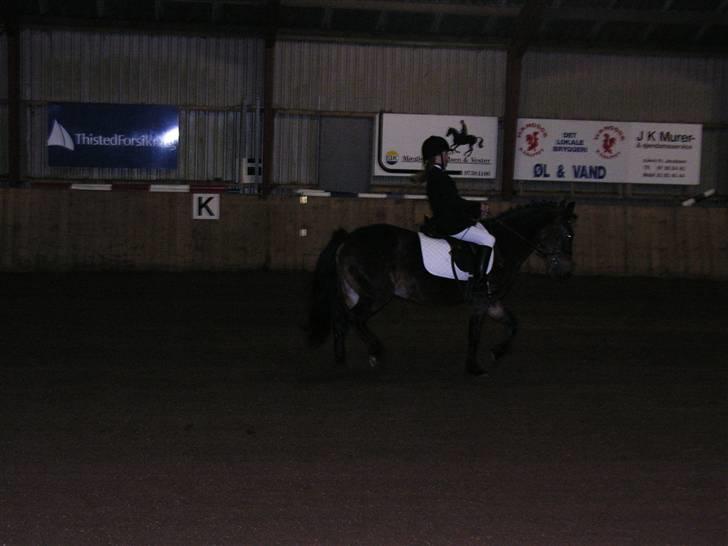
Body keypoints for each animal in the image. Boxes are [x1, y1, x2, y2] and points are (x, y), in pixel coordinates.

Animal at [306, 201, 577, 377]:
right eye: (568, 236)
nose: (565, 272)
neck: (502, 245)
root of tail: (348, 238)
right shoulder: (481, 303)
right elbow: (474, 334)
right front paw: (474, 368)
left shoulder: (492, 302)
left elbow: (513, 324)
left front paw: (497, 352)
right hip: (375, 295)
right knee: (355, 319)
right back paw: (376, 352)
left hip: (352, 292)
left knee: (342, 321)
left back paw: (341, 361)